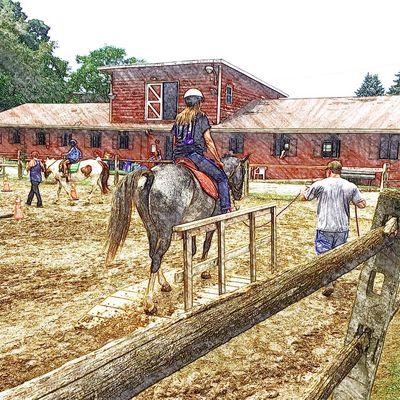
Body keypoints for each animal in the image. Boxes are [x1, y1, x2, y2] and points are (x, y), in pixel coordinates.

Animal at [104, 155, 248, 314]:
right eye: (244, 172)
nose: (239, 195)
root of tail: (153, 174)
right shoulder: (212, 222)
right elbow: (206, 246)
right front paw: (205, 272)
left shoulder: (192, 225)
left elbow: (192, 250)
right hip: (166, 232)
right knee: (157, 257)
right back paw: (149, 303)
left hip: (151, 229)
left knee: (152, 254)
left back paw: (164, 284)